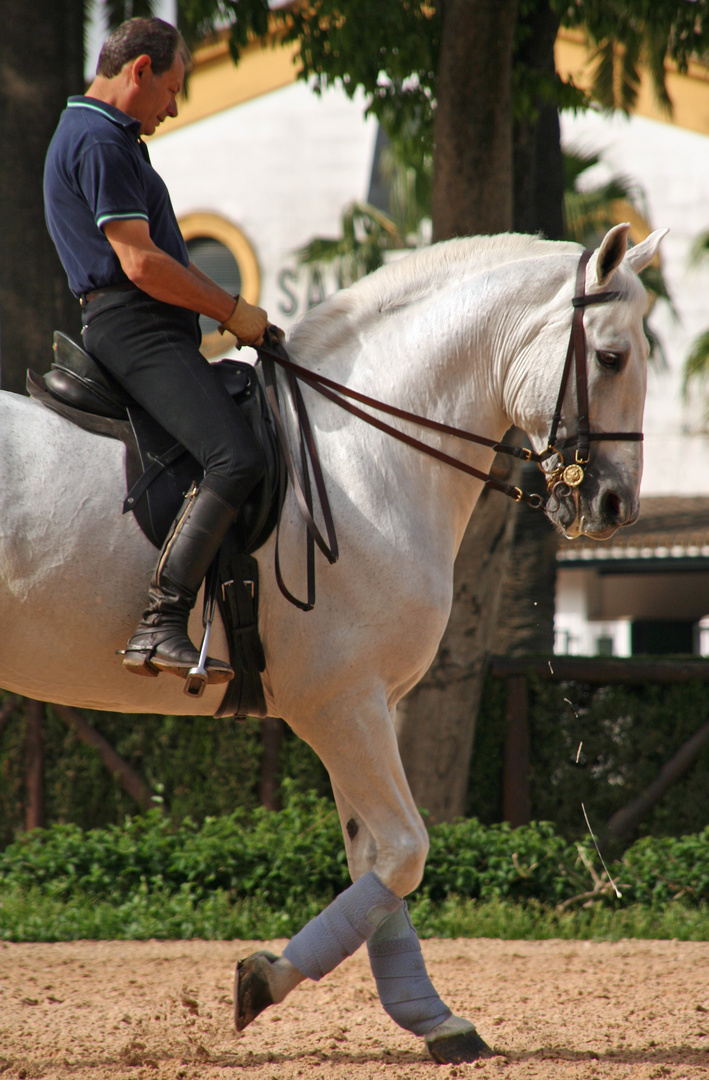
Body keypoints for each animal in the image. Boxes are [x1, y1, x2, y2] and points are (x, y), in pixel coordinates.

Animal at [0, 225, 665, 1062]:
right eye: (609, 357)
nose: (614, 506)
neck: (363, 457)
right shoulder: (342, 704)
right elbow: (405, 852)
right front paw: (263, 980)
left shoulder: (362, 706)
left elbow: (375, 859)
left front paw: (431, 1018)